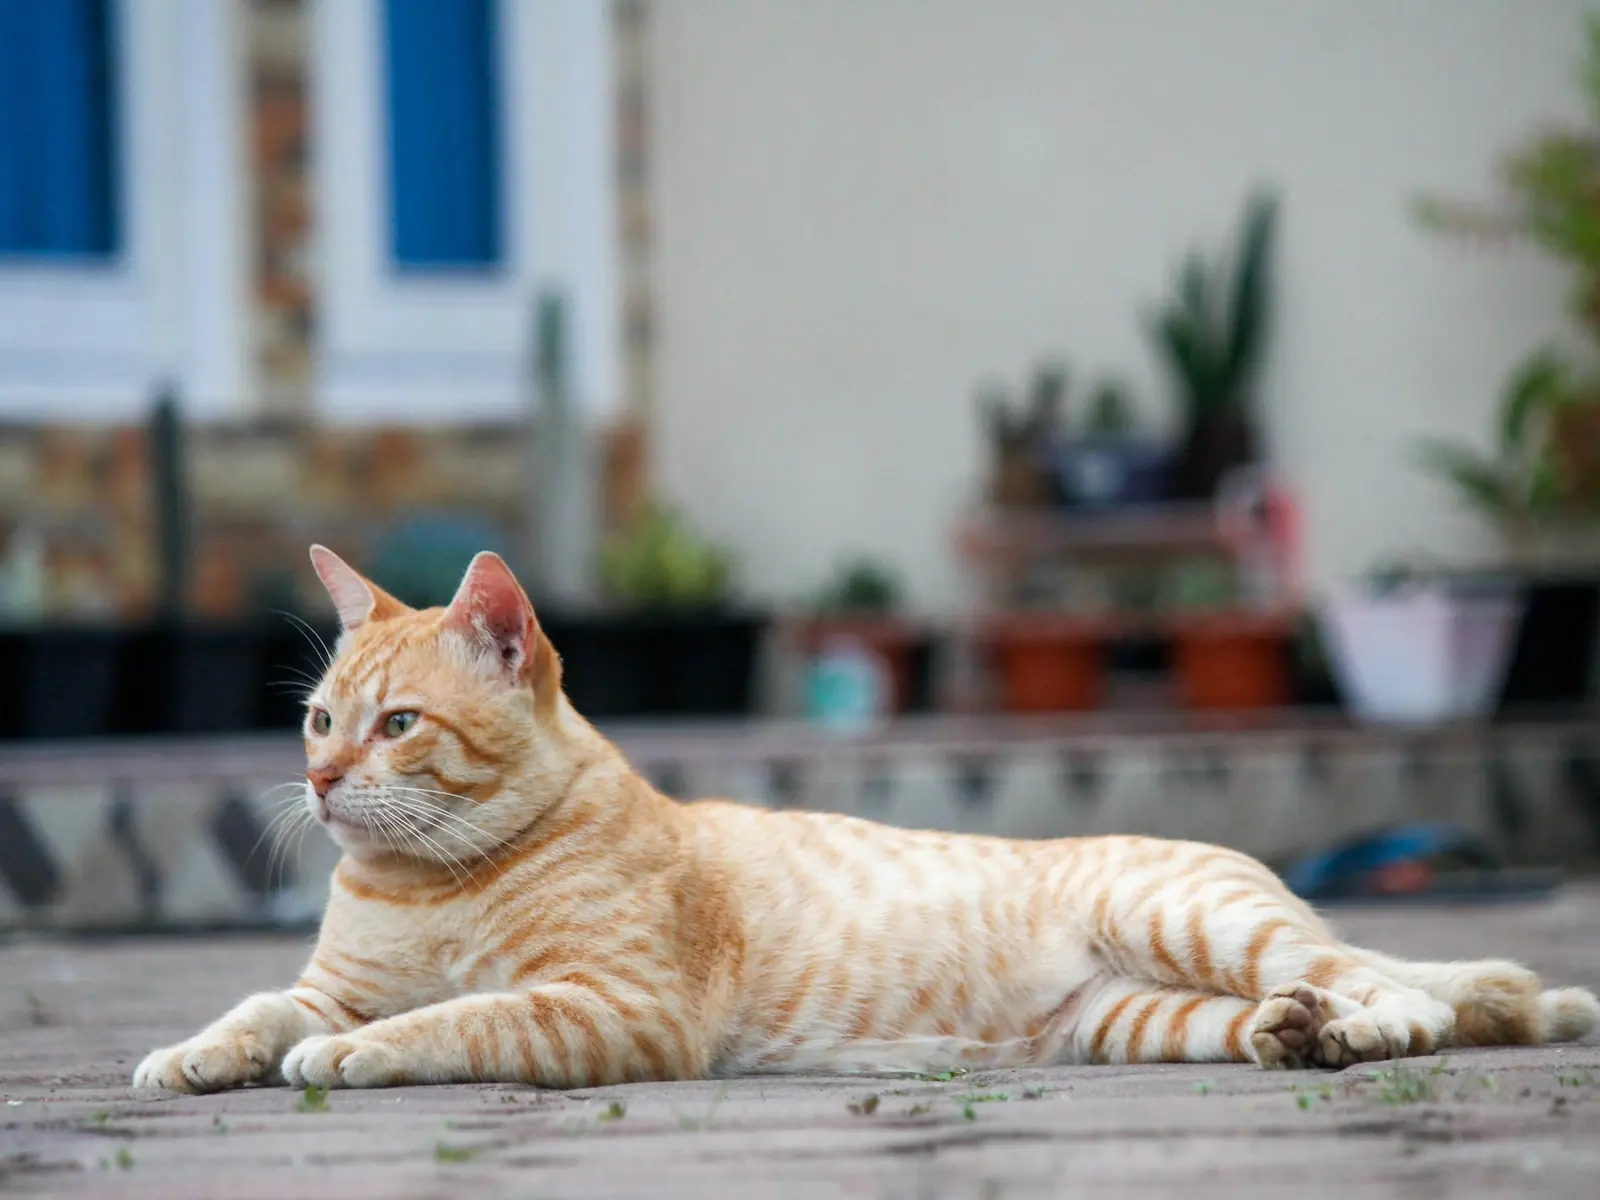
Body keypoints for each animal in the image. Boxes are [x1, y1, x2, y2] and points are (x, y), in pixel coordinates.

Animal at [134, 546, 1598, 1092]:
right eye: (318, 721)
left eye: (396, 727)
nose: (321, 785)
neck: (423, 885)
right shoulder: (329, 983)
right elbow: (257, 1008)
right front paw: (193, 1054)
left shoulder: (611, 1008)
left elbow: (453, 1021)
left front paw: (348, 1060)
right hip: (1139, 1019)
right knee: (1302, 1002)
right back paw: (1293, 1037)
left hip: (1196, 919)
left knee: (1399, 985)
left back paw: (1368, 1028)